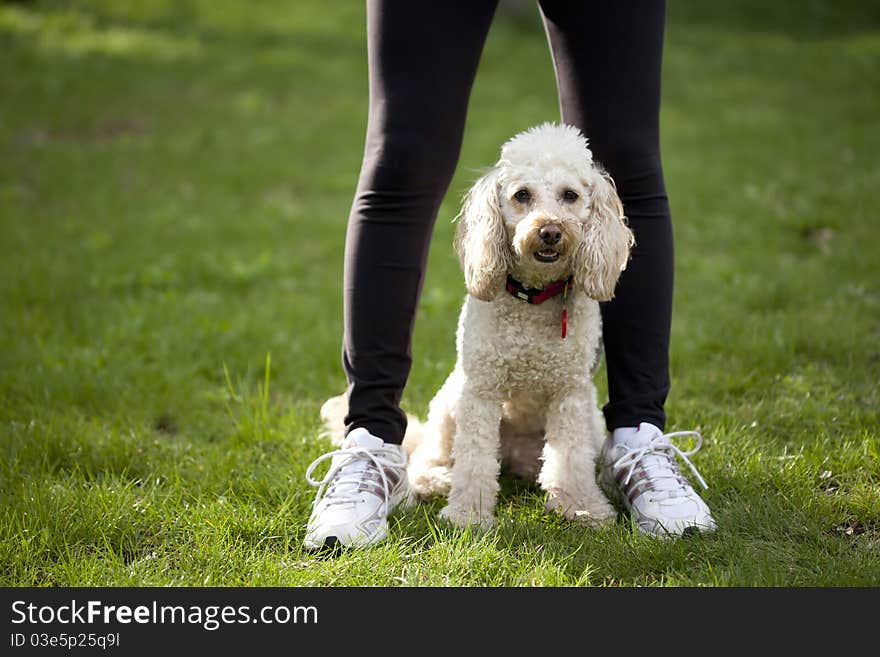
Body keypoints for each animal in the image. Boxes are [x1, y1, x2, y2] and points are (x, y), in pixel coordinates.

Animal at [320, 125, 636, 532]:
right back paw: (432, 479)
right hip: (449, 403)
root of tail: (514, 456)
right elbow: (474, 461)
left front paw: (582, 508)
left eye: (570, 195)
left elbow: (571, 459)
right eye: (522, 195)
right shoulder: (480, 393)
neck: (532, 299)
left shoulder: (570, 395)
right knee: (432, 454)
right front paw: (468, 515)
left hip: (590, 423)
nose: (550, 231)